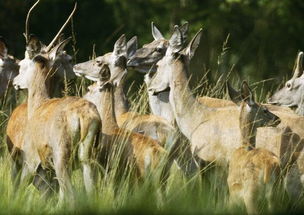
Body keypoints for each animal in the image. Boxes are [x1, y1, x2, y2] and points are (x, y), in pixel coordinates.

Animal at [11, 3, 101, 205]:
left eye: (23, 63)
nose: (15, 83)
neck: (38, 106)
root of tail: (85, 116)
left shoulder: (30, 159)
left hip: (62, 156)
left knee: (71, 195)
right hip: (88, 158)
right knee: (90, 192)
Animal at [227, 81, 282, 215]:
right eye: (265, 110)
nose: (278, 119)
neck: (246, 147)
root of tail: (269, 163)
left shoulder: (232, 193)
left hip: (251, 193)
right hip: (275, 193)